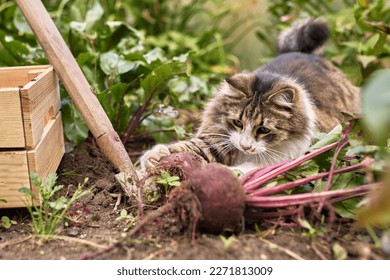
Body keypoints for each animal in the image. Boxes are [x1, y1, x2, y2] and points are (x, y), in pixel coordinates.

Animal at [139, 18, 360, 173]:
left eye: (263, 130)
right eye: (237, 123)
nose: (245, 146)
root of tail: (308, 54)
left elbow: (246, 170)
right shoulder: (217, 141)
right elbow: (187, 148)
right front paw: (154, 157)